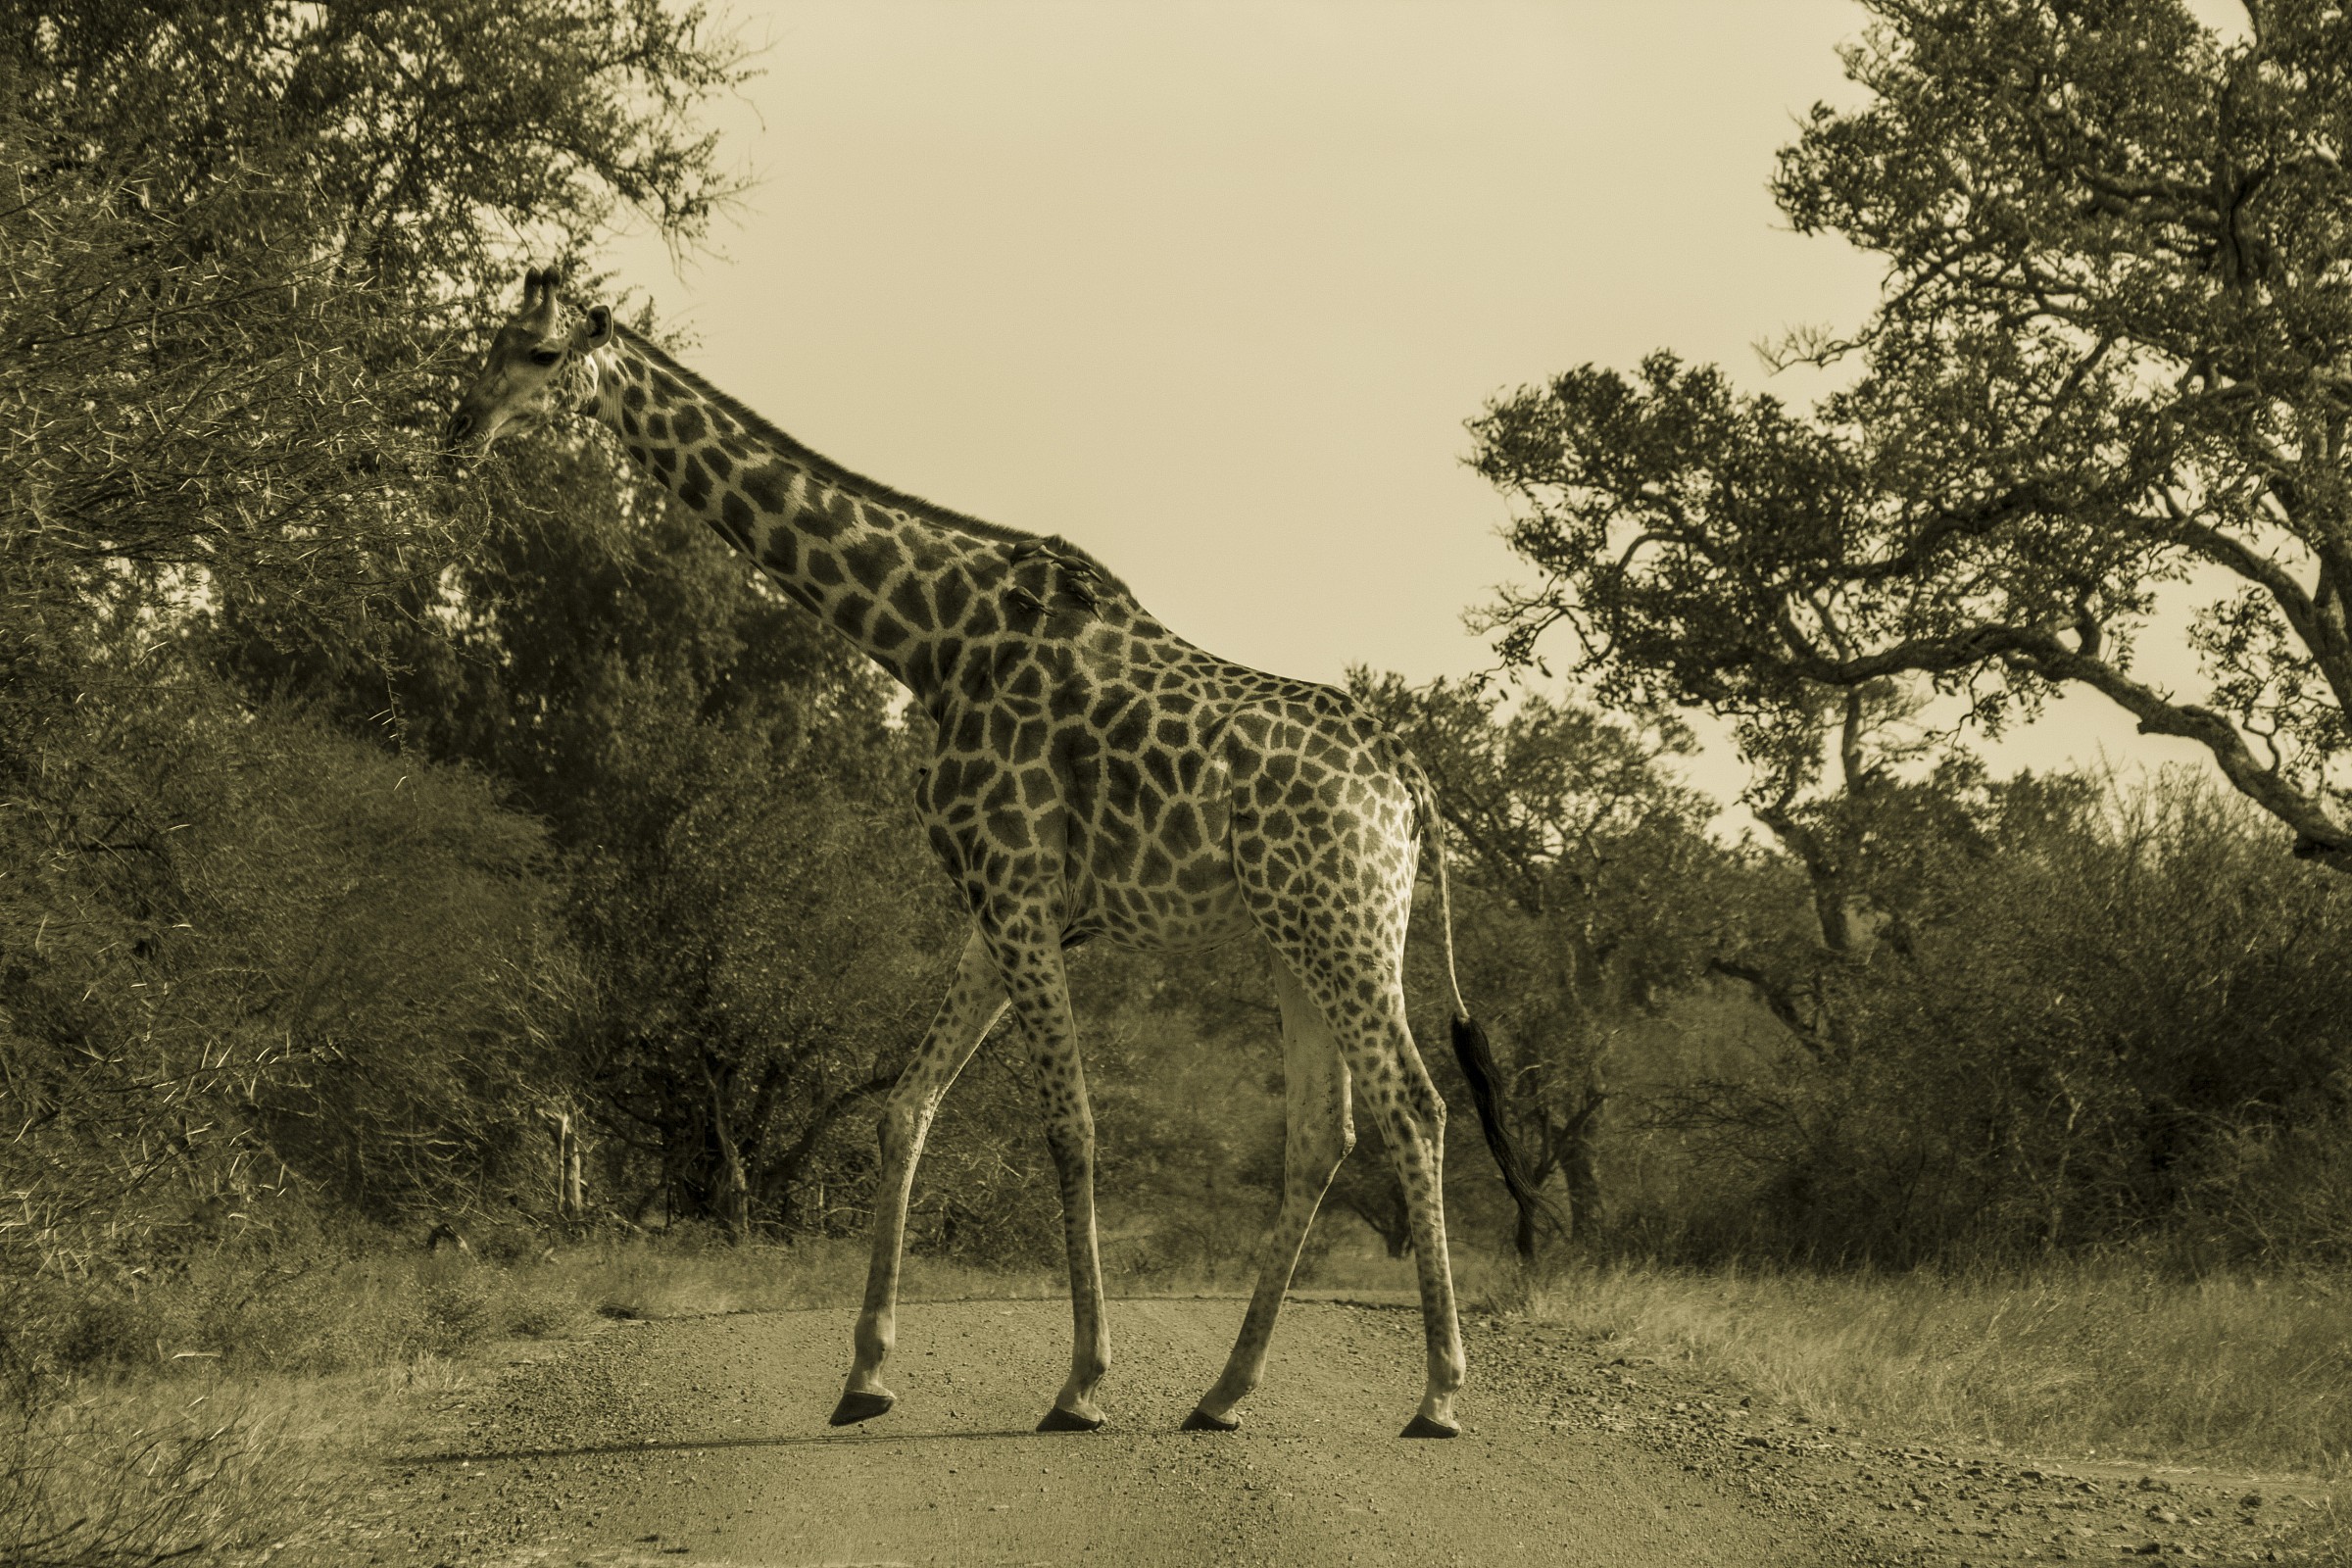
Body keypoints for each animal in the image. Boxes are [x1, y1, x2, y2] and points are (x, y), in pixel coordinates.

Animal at [447, 267, 1553, 1438]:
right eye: (496, 340)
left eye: (541, 354)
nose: (461, 427)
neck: (928, 637)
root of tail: (1411, 783)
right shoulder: (999, 904)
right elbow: (905, 1108)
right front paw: (866, 1374)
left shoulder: (1016, 888)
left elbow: (1070, 1126)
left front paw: (1082, 1382)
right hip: (1299, 934)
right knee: (1322, 1135)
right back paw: (1223, 1392)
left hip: (1343, 925)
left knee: (1414, 1107)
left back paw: (1437, 1393)